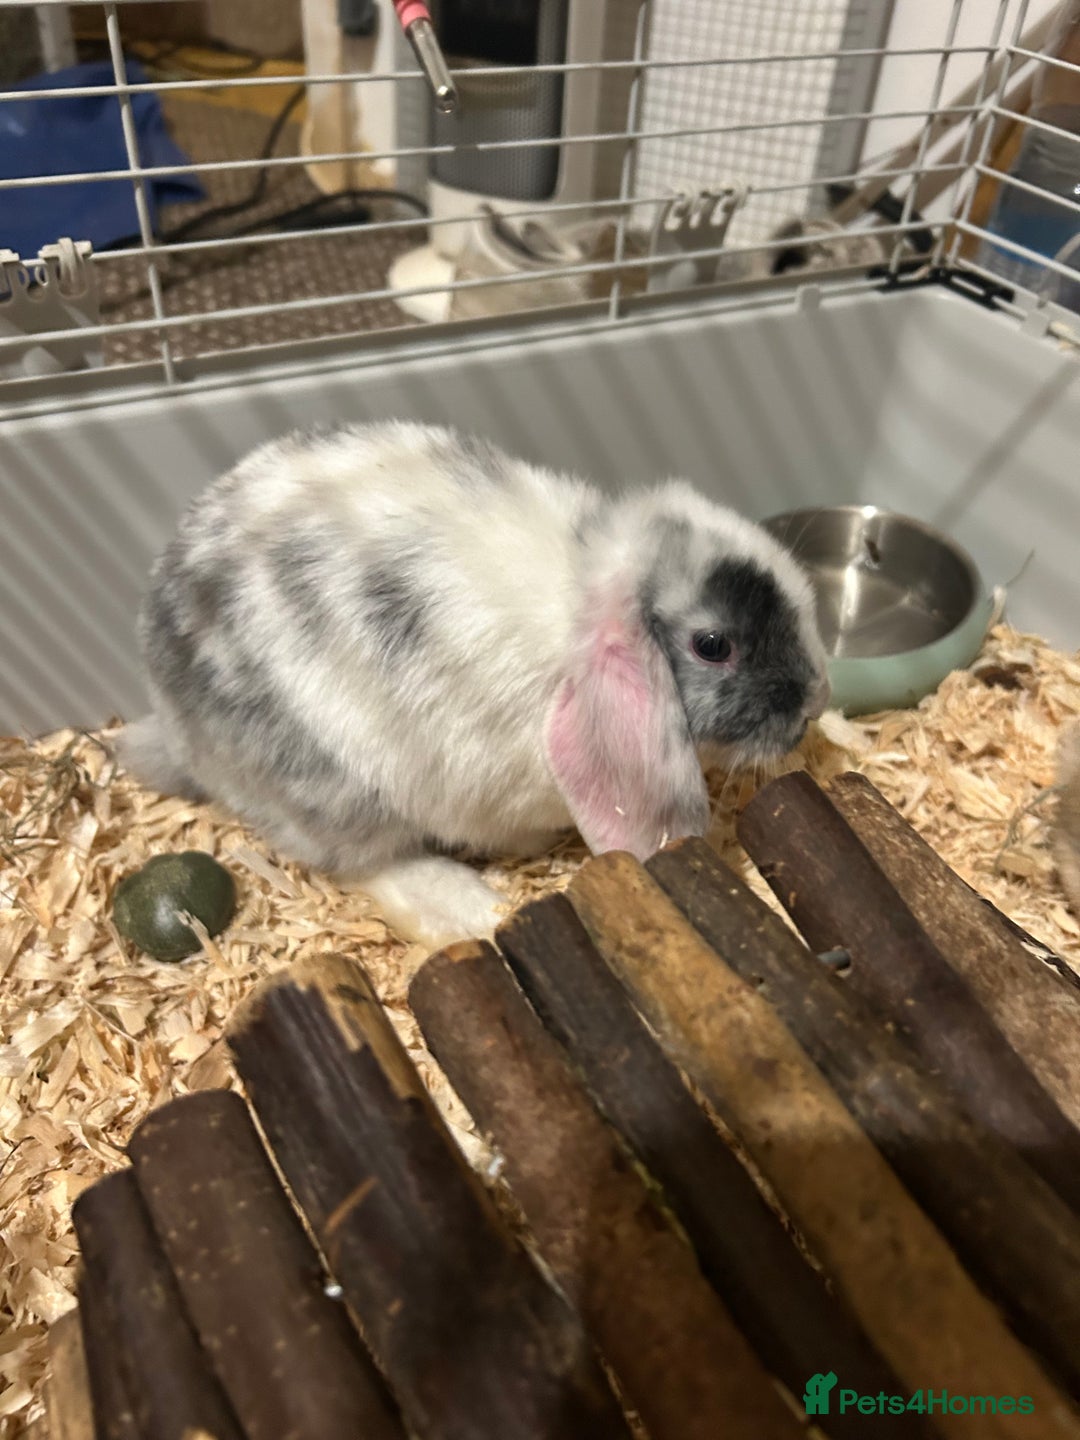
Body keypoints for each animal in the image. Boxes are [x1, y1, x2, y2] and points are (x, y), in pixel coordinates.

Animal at [117, 421, 830, 947]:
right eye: (714, 646)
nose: (816, 701)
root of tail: (171, 715)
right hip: (335, 789)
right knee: (368, 862)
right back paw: (470, 908)